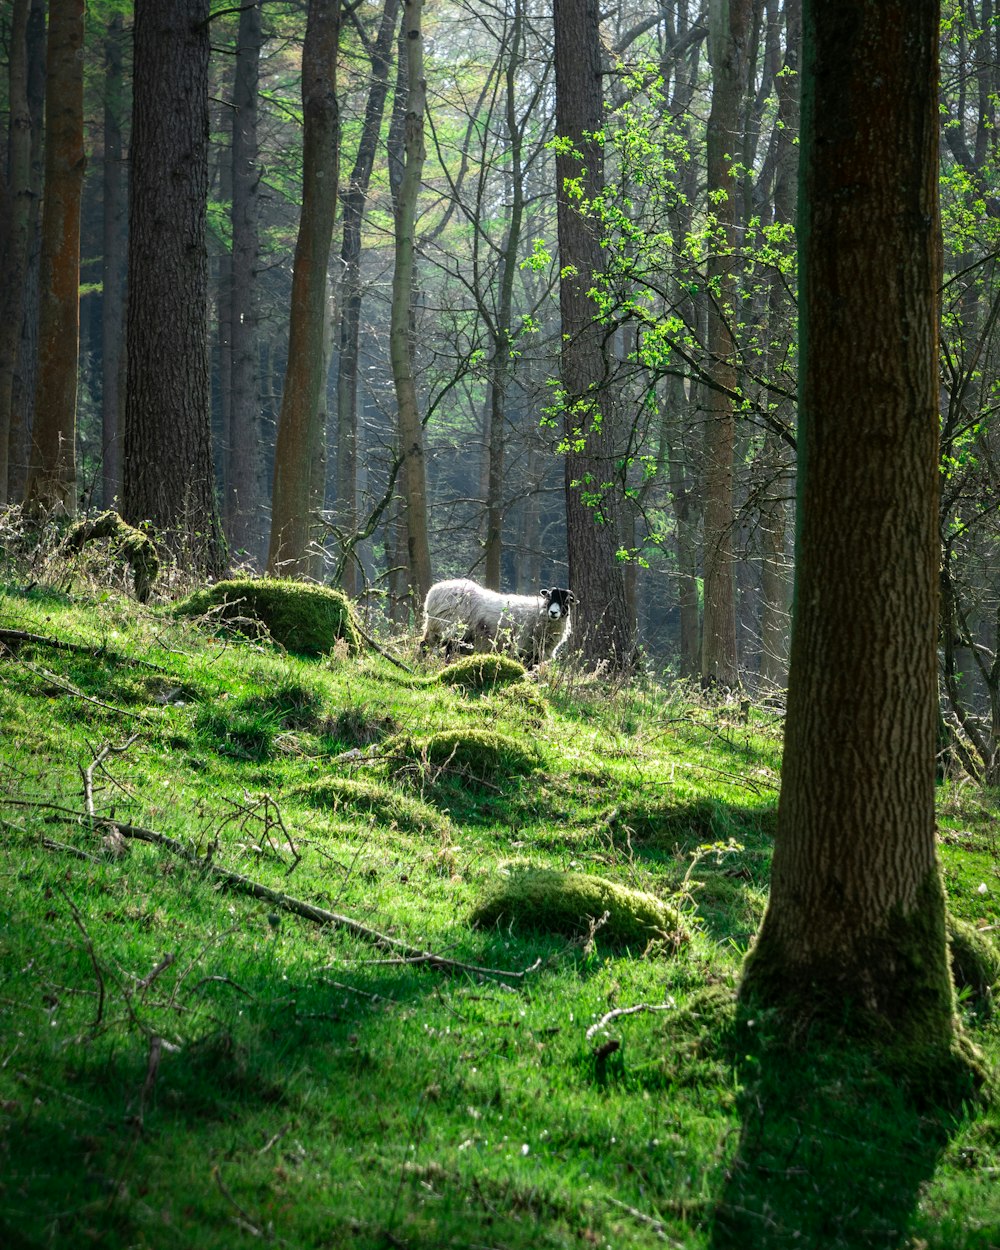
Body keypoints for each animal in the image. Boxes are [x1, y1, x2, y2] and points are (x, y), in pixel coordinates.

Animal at [417, 577, 575, 670]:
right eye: (549, 597)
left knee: (445, 650)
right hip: (441, 627)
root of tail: (434, 590)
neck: (537, 613)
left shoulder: (534, 656)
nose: (553, 612)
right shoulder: (521, 650)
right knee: (425, 645)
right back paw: (420, 665)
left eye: (566, 601)